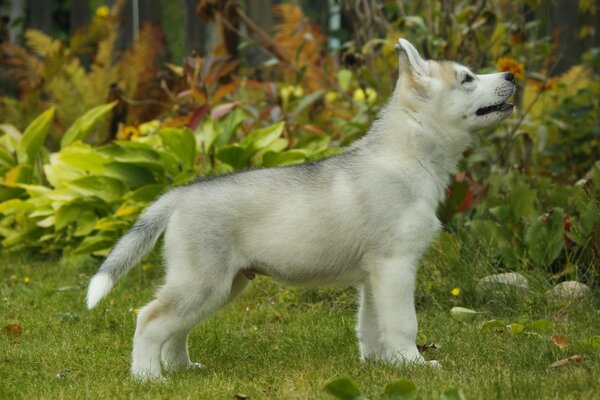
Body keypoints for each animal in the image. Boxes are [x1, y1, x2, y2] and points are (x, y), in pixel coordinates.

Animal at [85, 39, 516, 380]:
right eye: (467, 78)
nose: (512, 74)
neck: (406, 157)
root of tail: (179, 194)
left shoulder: (373, 276)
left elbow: (372, 326)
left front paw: (381, 365)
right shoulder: (395, 264)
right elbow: (403, 324)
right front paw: (414, 365)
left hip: (221, 284)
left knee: (176, 327)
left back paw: (181, 369)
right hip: (203, 282)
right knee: (150, 318)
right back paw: (148, 377)